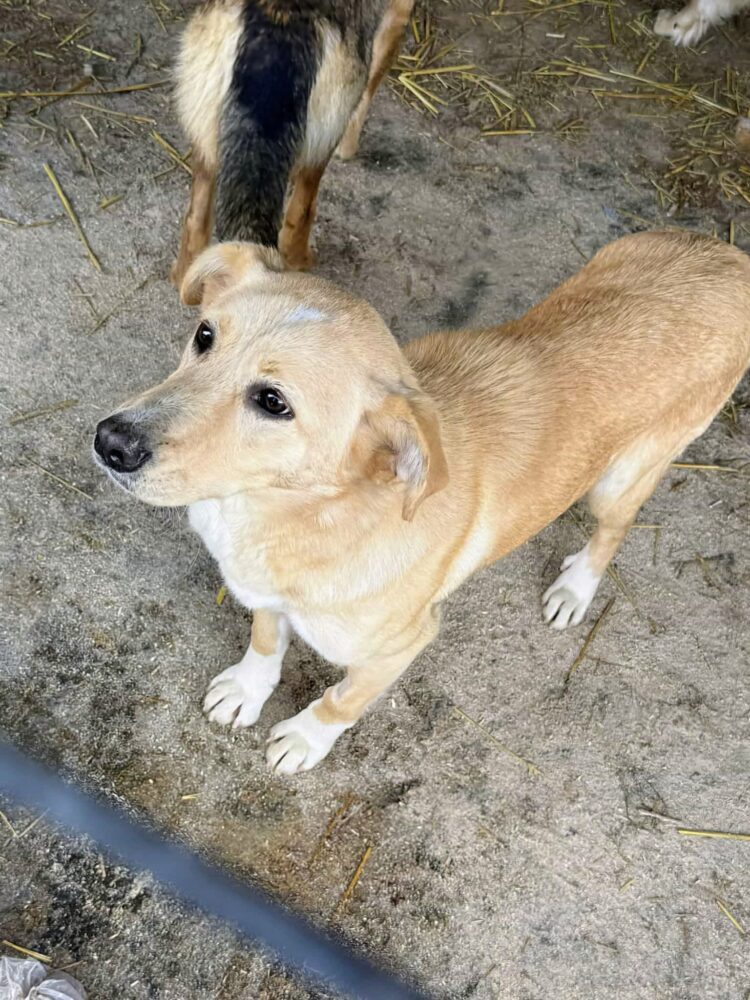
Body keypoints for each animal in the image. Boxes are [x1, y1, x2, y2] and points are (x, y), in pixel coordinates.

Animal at [93, 231, 750, 774]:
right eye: (204, 335)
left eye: (274, 402)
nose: (110, 443)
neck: (305, 510)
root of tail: (730, 256)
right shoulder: (268, 593)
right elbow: (264, 638)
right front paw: (246, 691)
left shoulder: (402, 646)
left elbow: (343, 699)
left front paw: (304, 739)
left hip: (621, 479)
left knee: (614, 530)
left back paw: (575, 590)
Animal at [171, 0, 413, 295]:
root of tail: (276, 25)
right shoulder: (397, 18)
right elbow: (371, 89)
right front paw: (350, 147)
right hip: (323, 141)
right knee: (300, 213)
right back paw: (301, 259)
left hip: (205, 142)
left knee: (195, 226)